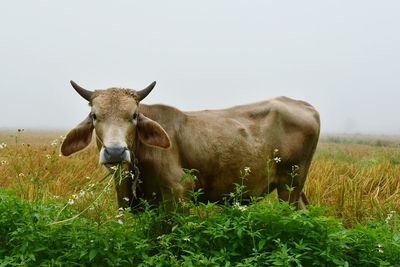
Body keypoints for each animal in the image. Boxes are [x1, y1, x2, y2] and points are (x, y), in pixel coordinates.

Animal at [61, 80, 320, 210]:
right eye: (95, 116)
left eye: (134, 115)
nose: (115, 151)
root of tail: (304, 105)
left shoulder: (179, 194)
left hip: (290, 186)